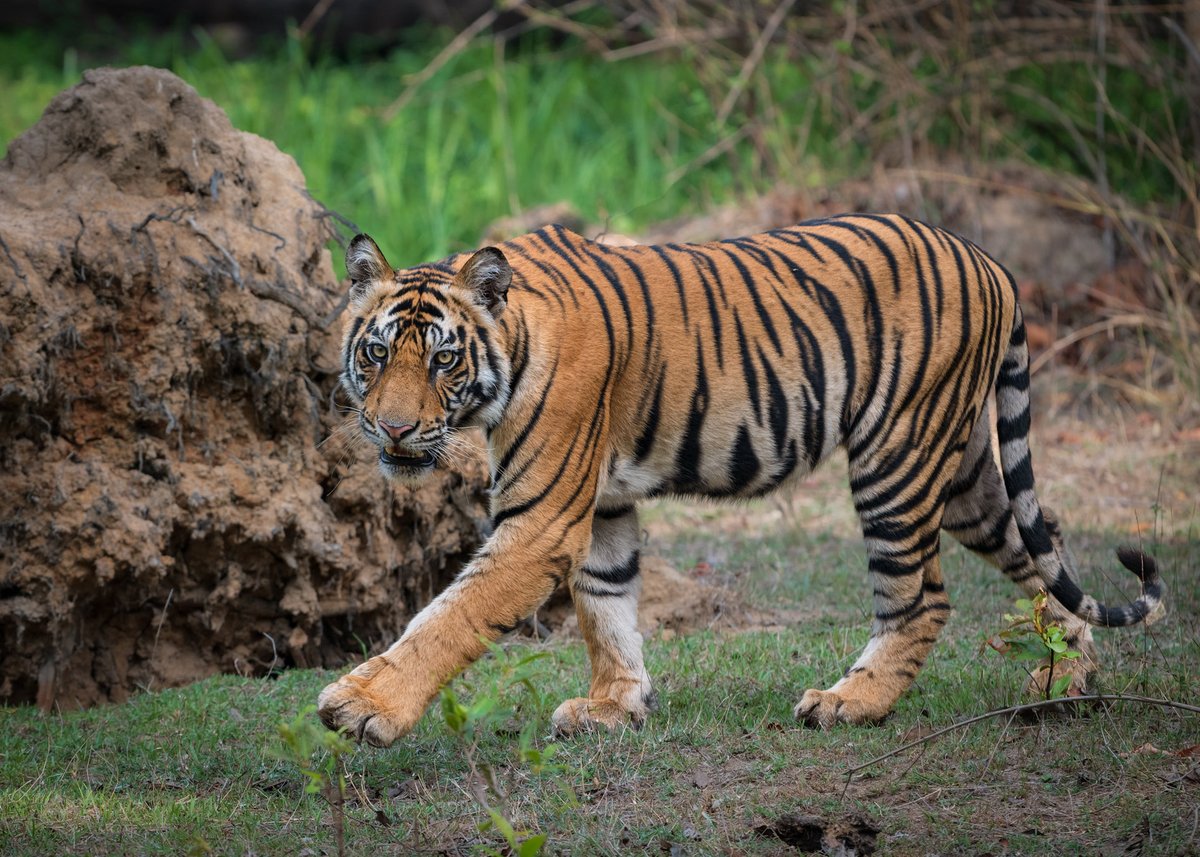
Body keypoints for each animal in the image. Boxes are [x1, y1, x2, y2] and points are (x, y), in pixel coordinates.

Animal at [317, 214, 1165, 747]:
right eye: (376, 353)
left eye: (442, 358)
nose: (393, 428)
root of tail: (992, 263)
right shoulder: (603, 505)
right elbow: (607, 607)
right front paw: (616, 705)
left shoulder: (542, 518)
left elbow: (448, 617)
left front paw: (363, 705)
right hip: (961, 475)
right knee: (1042, 547)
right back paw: (1066, 677)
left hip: (896, 455)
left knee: (922, 597)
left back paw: (851, 701)